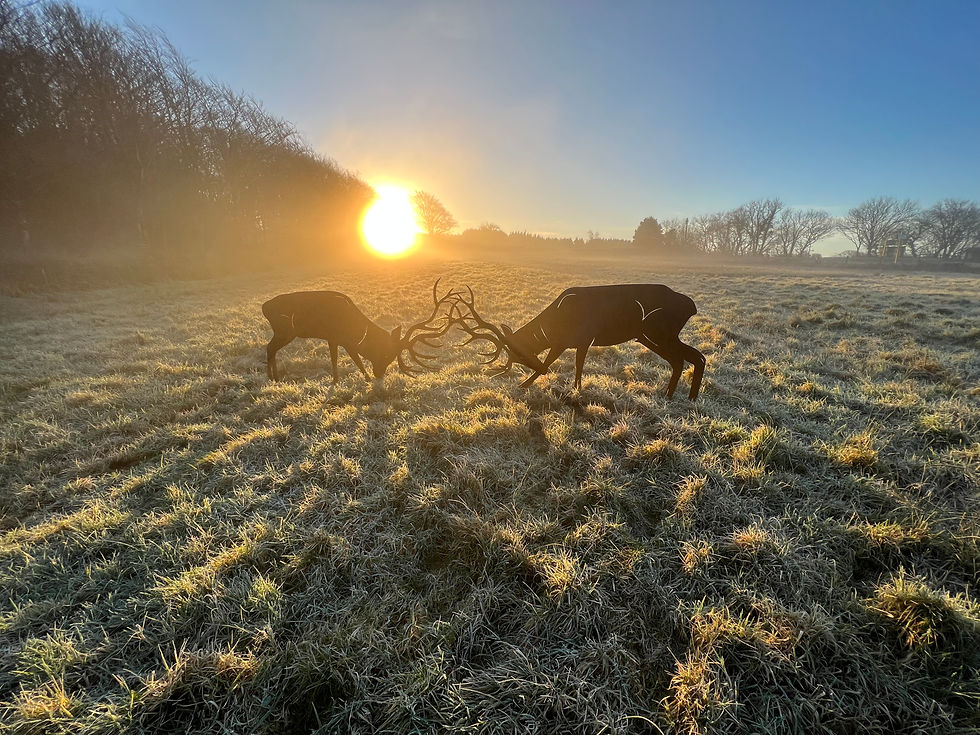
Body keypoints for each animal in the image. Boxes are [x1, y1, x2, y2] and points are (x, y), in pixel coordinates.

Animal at [262, 279, 457, 382]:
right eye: (386, 354)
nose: (379, 374)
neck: (354, 328)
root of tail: (265, 307)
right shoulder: (333, 337)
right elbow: (336, 359)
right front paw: (336, 380)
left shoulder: (346, 341)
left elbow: (357, 359)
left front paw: (366, 378)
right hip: (285, 330)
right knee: (269, 348)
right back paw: (272, 377)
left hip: (283, 332)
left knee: (270, 348)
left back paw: (274, 377)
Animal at [452, 284, 706, 400]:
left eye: (520, 353)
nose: (538, 368)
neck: (555, 325)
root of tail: (691, 307)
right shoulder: (568, 341)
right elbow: (567, 363)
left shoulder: (582, 338)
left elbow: (574, 365)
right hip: (649, 336)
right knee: (687, 358)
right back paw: (679, 396)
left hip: (659, 331)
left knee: (692, 358)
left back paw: (680, 396)